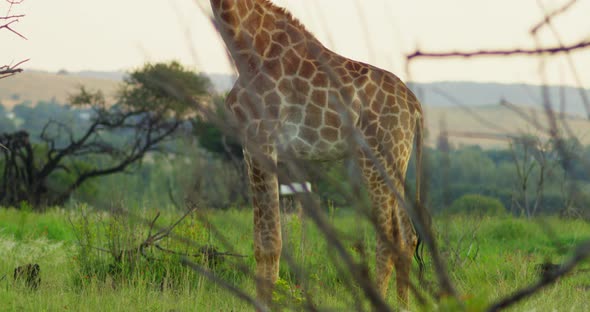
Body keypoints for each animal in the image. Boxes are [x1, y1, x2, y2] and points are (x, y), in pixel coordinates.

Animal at [210, 0, 428, 308]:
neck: (248, 48)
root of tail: (415, 107)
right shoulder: (254, 145)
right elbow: (261, 239)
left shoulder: (261, 139)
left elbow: (270, 242)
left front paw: (264, 303)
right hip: (398, 161)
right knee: (407, 237)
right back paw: (402, 305)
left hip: (375, 158)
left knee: (389, 238)